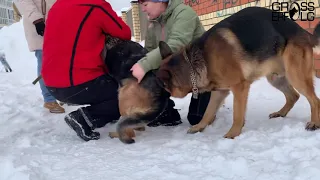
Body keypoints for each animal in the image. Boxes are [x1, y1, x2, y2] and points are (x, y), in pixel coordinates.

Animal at [156, 6, 320, 139]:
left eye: (162, 87)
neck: (195, 61)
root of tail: (302, 30)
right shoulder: (219, 92)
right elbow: (208, 112)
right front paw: (199, 127)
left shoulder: (240, 87)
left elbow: (237, 114)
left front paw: (233, 133)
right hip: (275, 78)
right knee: (294, 96)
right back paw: (281, 113)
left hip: (295, 75)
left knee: (314, 100)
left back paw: (314, 123)